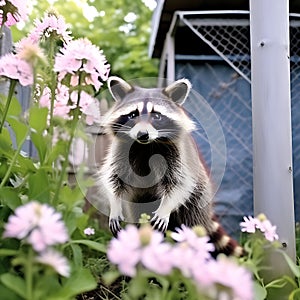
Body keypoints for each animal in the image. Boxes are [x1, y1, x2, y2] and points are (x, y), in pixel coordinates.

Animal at [97, 76, 243, 256]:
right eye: (132, 115)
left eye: (156, 116)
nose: (142, 134)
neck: (146, 145)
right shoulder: (121, 151)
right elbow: (113, 179)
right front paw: (115, 206)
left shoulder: (177, 156)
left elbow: (179, 183)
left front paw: (165, 208)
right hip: (138, 201)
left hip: (197, 200)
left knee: (194, 223)